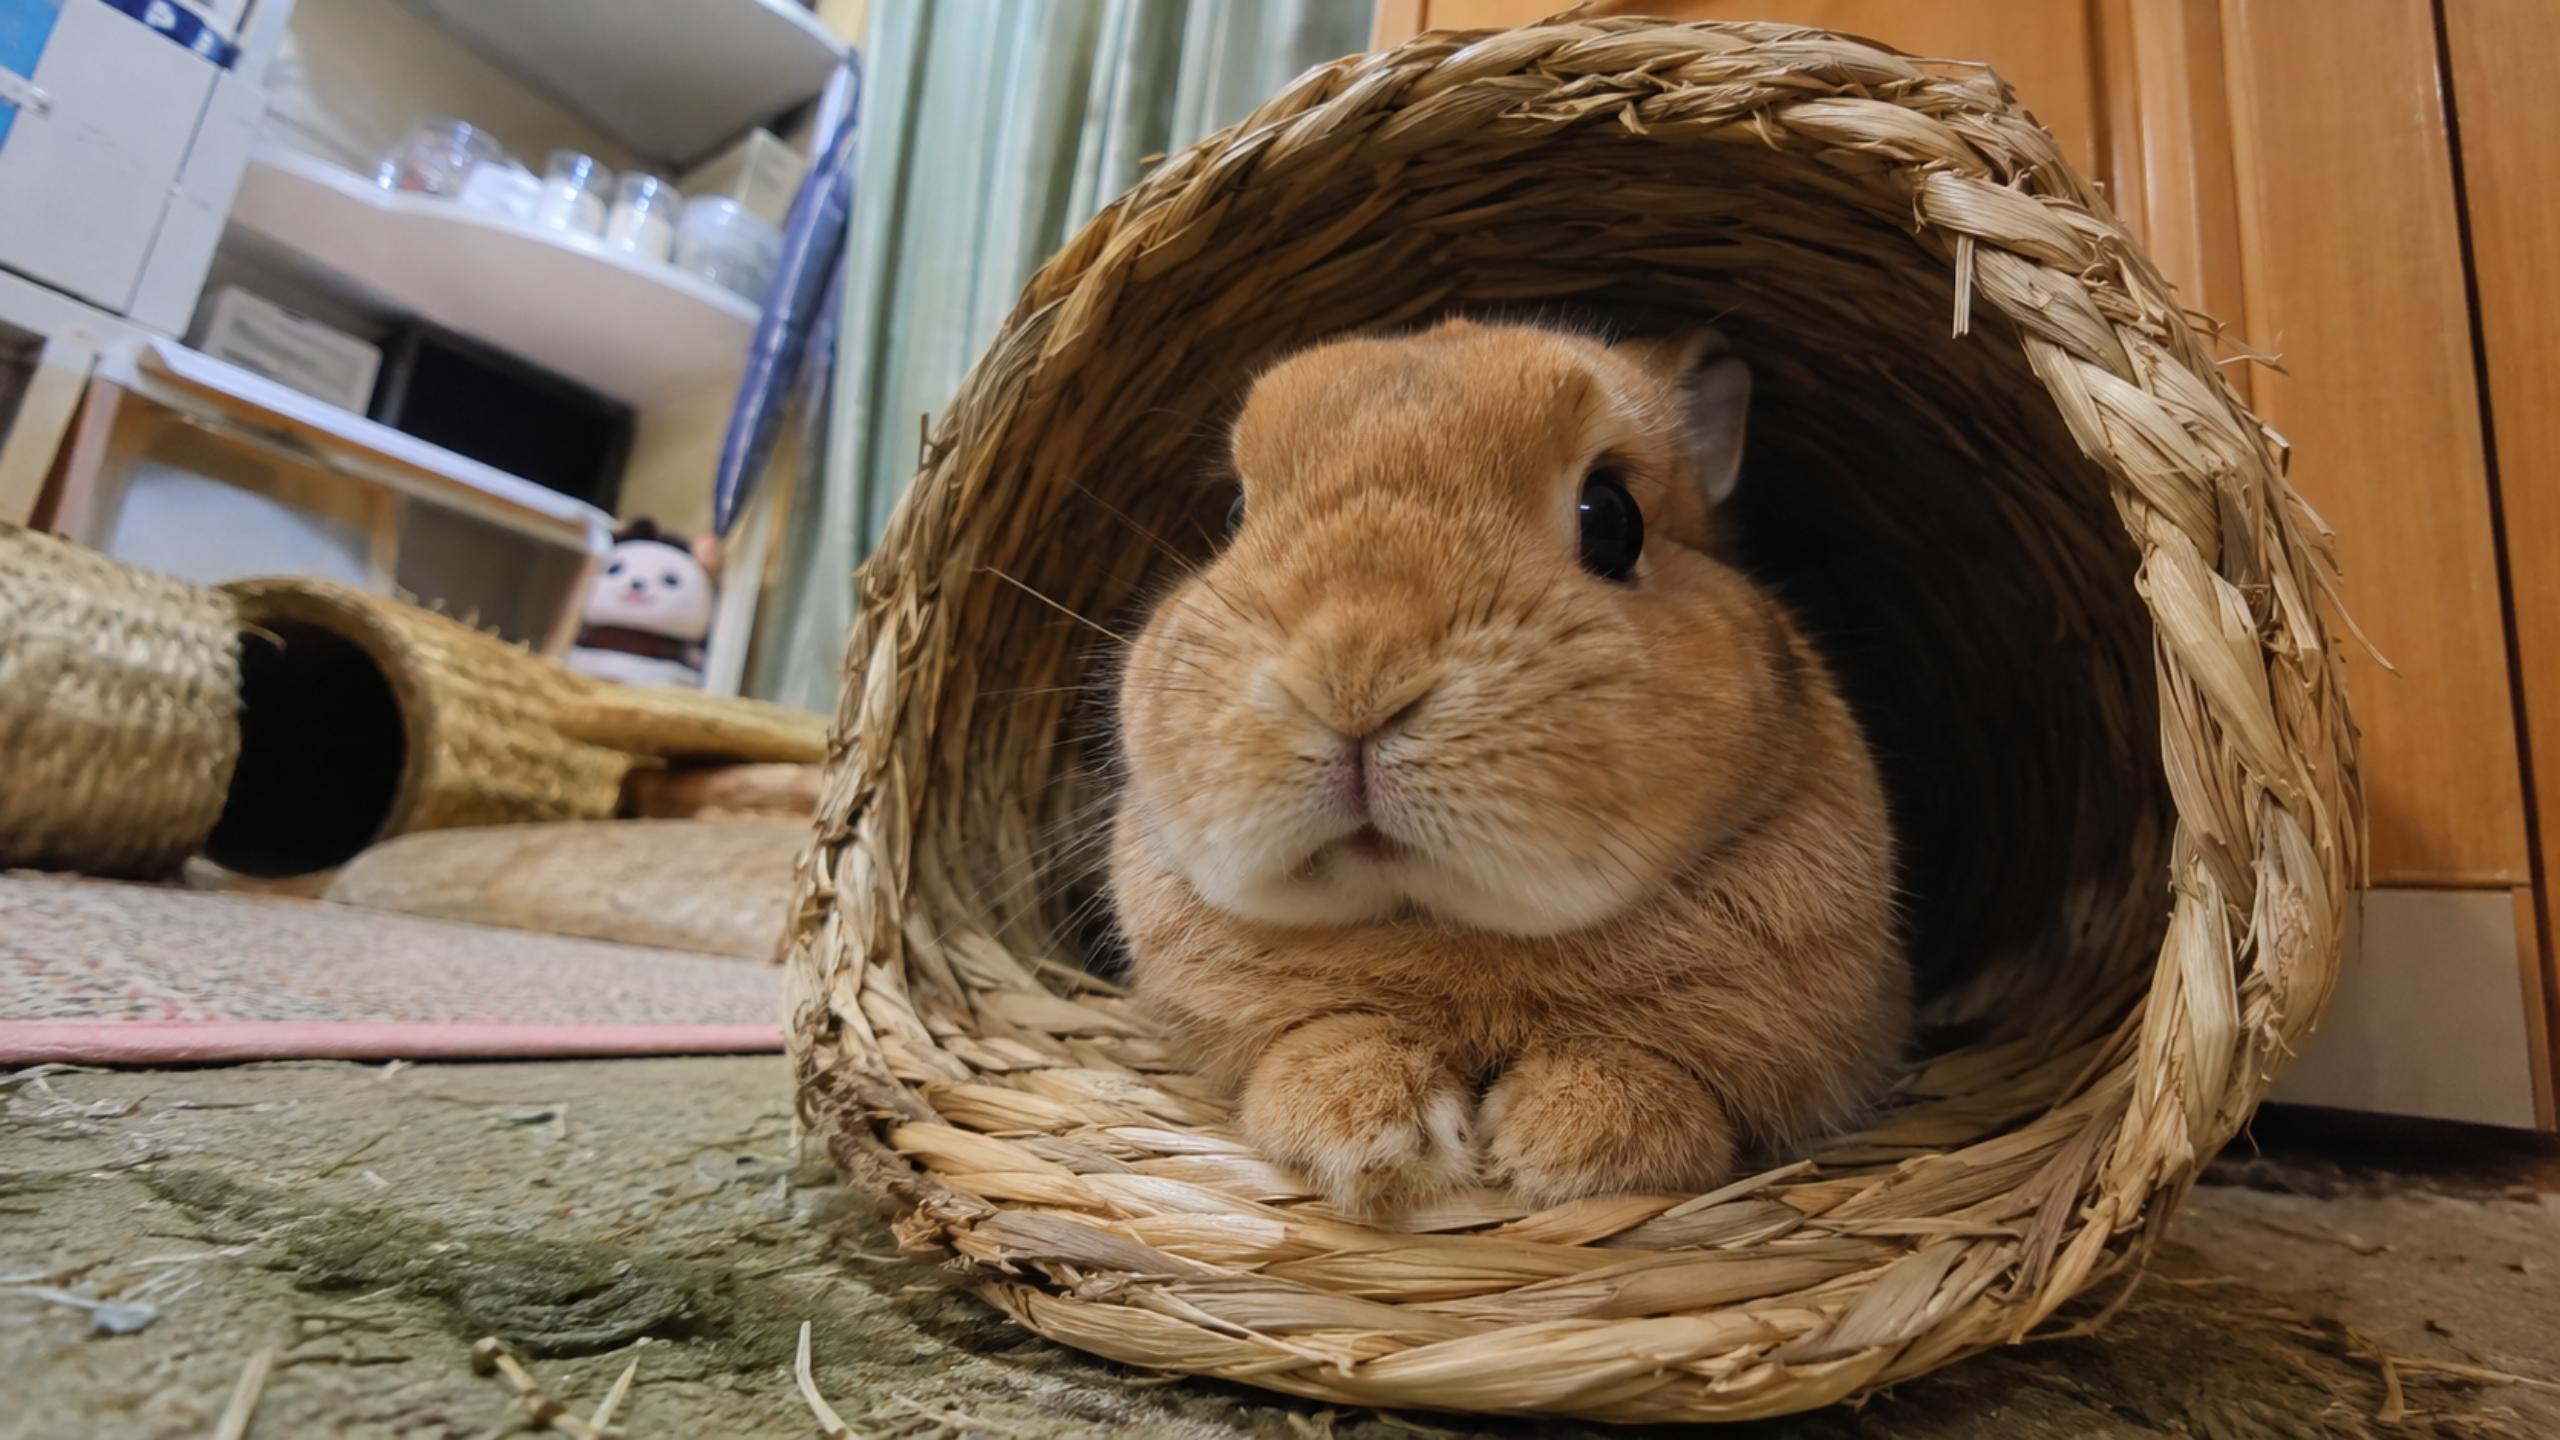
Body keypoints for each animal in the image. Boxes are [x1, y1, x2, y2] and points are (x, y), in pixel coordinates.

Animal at [1107, 317, 1908, 1213]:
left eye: (1613, 518)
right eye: (1236, 516)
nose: (1355, 676)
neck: (1451, 932)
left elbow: (1665, 1077)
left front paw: (1566, 1147)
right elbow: (1317, 1038)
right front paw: (1373, 1137)